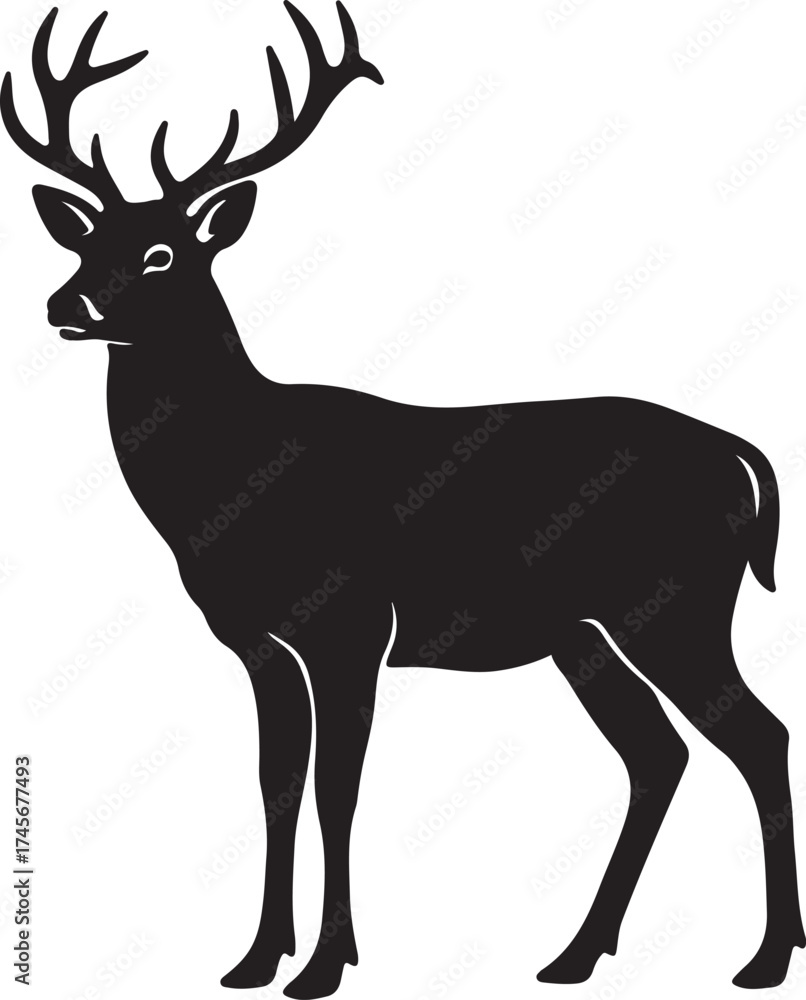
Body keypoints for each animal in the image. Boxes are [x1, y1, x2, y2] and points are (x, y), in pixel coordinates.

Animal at [3, 3, 804, 995]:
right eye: (84, 240)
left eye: (161, 251)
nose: (62, 303)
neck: (229, 490)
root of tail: (743, 456)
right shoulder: (255, 641)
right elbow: (274, 786)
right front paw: (254, 958)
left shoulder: (351, 621)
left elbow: (336, 790)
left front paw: (325, 964)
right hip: (585, 632)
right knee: (659, 754)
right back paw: (577, 953)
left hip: (677, 605)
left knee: (759, 737)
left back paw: (764, 956)